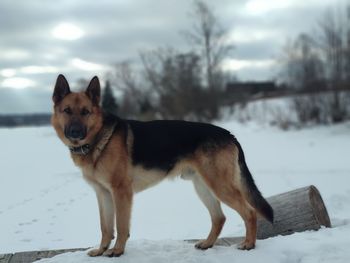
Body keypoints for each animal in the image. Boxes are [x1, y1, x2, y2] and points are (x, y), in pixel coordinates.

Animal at [51, 74, 274, 258]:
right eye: (67, 111)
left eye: (86, 112)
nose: (75, 132)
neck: (98, 139)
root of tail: (229, 134)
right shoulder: (103, 194)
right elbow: (105, 227)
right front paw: (101, 250)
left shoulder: (121, 192)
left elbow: (121, 226)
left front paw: (117, 251)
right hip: (203, 187)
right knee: (219, 218)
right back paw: (207, 244)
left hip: (220, 186)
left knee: (249, 212)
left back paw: (249, 245)